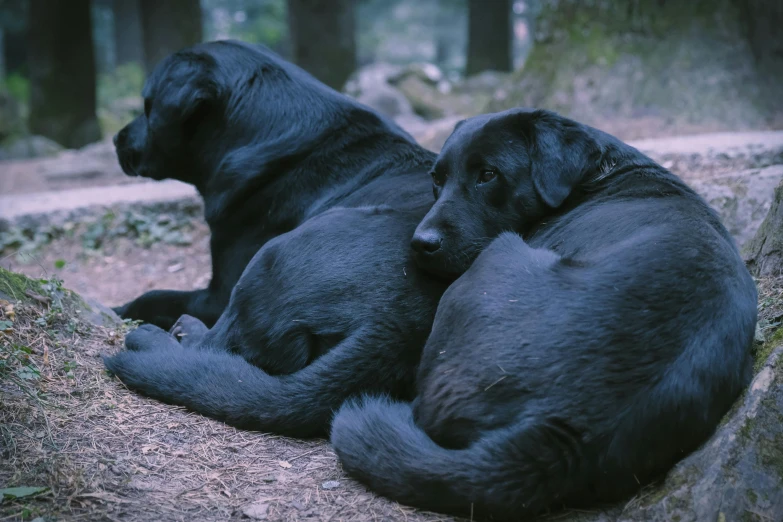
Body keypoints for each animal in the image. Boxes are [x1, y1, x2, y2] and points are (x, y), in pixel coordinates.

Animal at [332, 107, 760, 516]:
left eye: (488, 175)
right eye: (436, 179)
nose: (421, 243)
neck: (598, 173)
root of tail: (561, 429)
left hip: (498, 255)